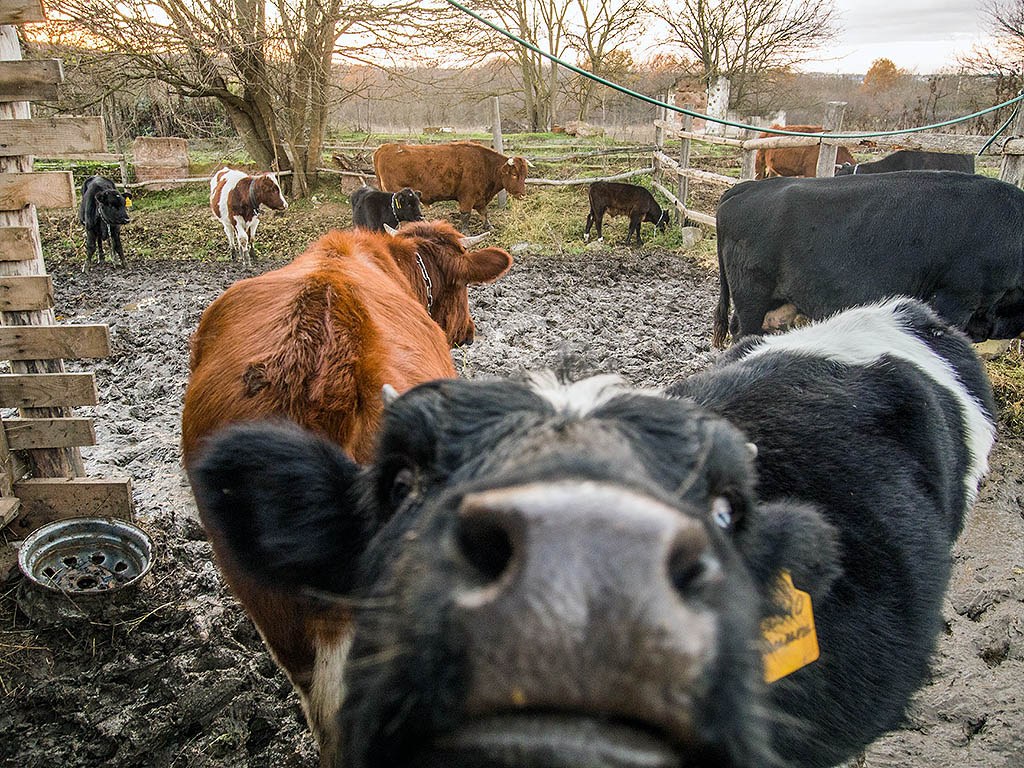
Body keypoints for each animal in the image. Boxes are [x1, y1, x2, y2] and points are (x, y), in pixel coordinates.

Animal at [374, 141, 532, 227]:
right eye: (514, 174)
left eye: (525, 175)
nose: (523, 195)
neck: (485, 164)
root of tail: (385, 147)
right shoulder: (467, 196)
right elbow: (465, 215)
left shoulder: (480, 197)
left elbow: (484, 212)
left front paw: (489, 226)